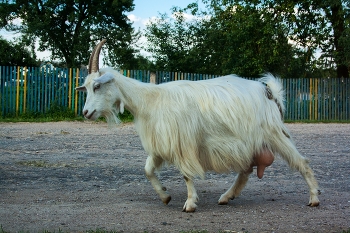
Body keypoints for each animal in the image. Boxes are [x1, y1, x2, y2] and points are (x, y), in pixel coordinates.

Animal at [76, 40, 320, 213]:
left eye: (97, 86)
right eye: (86, 88)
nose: (86, 113)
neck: (150, 101)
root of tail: (269, 91)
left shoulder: (183, 143)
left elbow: (186, 174)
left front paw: (190, 203)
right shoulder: (160, 145)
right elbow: (147, 170)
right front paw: (165, 195)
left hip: (274, 133)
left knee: (301, 162)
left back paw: (314, 198)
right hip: (248, 143)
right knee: (245, 172)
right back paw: (226, 197)